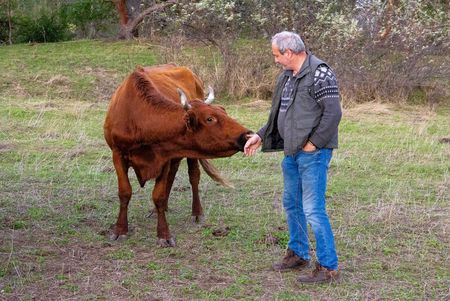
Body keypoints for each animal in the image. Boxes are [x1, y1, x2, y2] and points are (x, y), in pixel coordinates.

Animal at [103, 64, 251, 245]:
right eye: (210, 119)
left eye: (224, 111)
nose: (247, 135)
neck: (136, 118)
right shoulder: (117, 155)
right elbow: (125, 192)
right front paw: (120, 229)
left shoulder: (164, 157)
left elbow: (158, 195)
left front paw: (164, 234)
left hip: (191, 155)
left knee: (193, 176)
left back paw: (197, 212)